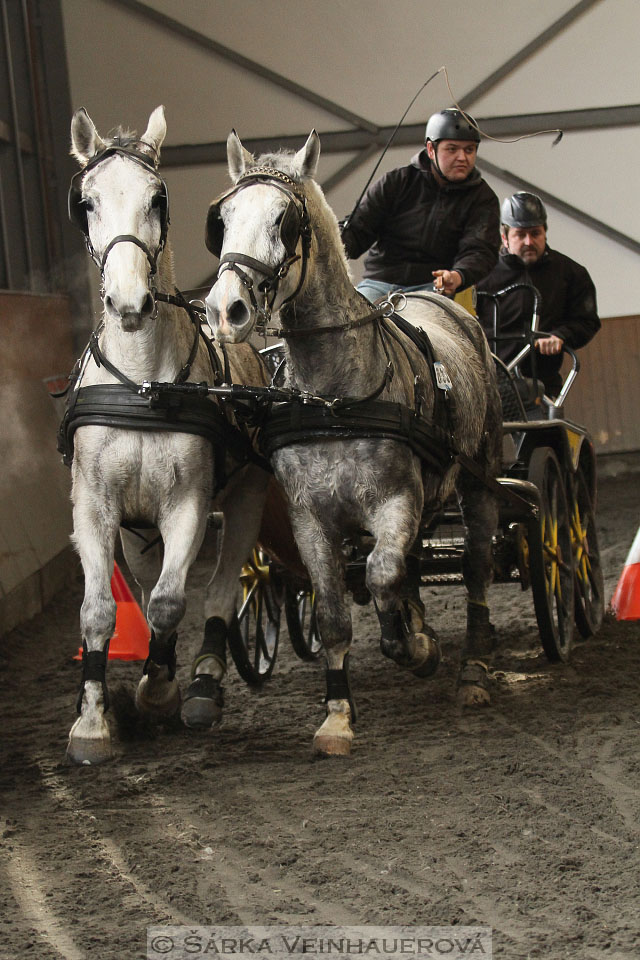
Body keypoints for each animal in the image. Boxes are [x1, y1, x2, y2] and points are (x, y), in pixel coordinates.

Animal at [67, 107, 270, 764]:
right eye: (87, 202)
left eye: (158, 198)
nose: (129, 301)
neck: (142, 385)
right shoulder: (96, 508)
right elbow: (100, 611)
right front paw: (93, 722)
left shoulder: (189, 503)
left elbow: (168, 601)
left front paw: (158, 690)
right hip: (136, 532)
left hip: (248, 499)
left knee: (222, 590)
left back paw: (203, 681)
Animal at [202, 131, 502, 756]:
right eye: (224, 219)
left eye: (286, 220)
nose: (225, 310)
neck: (333, 397)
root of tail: (432, 300)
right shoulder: (310, 518)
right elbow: (336, 612)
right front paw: (337, 715)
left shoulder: (396, 501)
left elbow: (383, 574)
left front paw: (417, 649)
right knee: (414, 566)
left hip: (480, 483)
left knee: (476, 569)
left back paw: (473, 668)